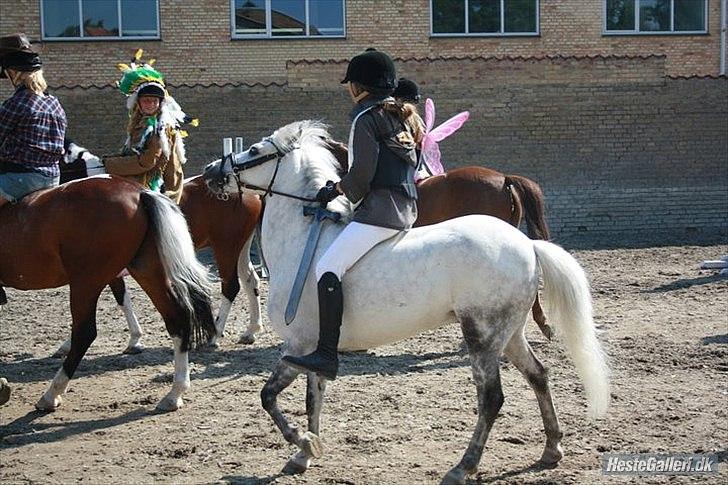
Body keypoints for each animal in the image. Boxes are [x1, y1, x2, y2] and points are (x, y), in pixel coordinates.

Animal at [0, 176, 216, 411]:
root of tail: (139, 193)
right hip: (146, 269)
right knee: (176, 318)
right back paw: (175, 393)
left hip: (85, 282)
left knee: (84, 333)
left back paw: (51, 394)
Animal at [58, 139, 263, 353]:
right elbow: (122, 298)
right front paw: (134, 339)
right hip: (239, 248)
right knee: (251, 281)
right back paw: (251, 331)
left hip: (225, 247)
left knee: (231, 287)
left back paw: (215, 336)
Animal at [202, 120, 610, 482]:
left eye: (256, 150)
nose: (210, 171)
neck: (306, 239)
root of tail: (527, 244)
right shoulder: (313, 349)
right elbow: (312, 399)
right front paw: (305, 453)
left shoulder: (298, 344)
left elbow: (268, 396)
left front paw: (301, 441)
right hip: (508, 333)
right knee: (538, 374)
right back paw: (551, 449)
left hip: (481, 335)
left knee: (491, 398)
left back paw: (463, 467)